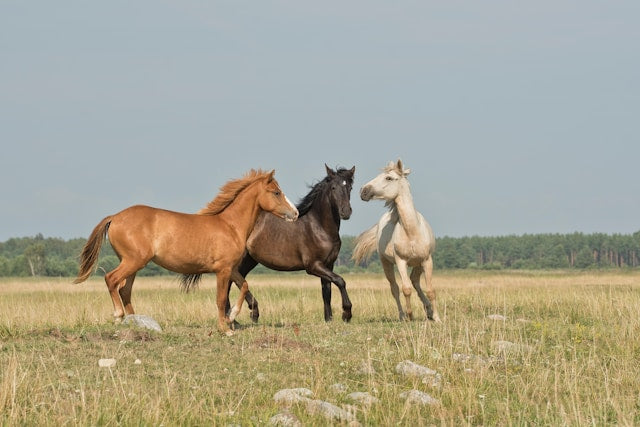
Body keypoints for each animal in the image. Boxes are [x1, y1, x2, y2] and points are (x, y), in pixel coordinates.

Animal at [73, 170, 299, 335]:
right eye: (276, 192)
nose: (295, 213)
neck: (230, 226)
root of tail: (115, 217)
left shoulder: (231, 268)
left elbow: (244, 286)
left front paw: (232, 317)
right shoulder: (223, 270)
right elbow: (220, 299)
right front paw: (225, 329)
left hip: (133, 264)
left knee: (124, 290)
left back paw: (135, 322)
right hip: (133, 261)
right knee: (111, 280)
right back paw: (119, 316)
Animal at [183, 164, 355, 322]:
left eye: (350, 187)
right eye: (333, 187)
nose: (346, 212)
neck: (318, 227)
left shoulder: (328, 264)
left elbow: (327, 291)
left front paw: (329, 320)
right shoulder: (313, 266)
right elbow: (340, 281)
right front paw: (346, 314)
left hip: (248, 260)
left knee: (234, 281)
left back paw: (238, 316)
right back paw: (247, 313)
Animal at [352, 159, 440, 322]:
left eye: (388, 178)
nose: (363, 191)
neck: (412, 231)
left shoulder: (427, 260)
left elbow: (430, 290)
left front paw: (437, 318)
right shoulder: (401, 261)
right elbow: (406, 289)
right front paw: (410, 316)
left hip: (418, 264)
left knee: (415, 281)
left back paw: (429, 310)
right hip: (386, 263)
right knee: (395, 288)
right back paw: (402, 315)